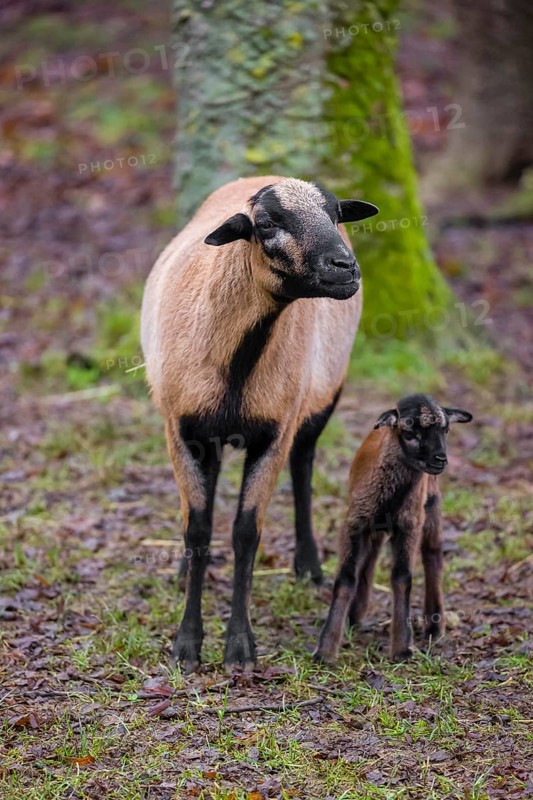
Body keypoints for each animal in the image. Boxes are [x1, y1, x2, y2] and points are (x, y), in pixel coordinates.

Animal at [140, 176, 379, 672]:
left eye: (336, 214)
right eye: (267, 224)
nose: (346, 267)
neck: (236, 360)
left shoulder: (273, 433)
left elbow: (246, 533)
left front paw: (239, 647)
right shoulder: (181, 431)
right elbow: (198, 528)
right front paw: (187, 645)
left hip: (322, 396)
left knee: (303, 464)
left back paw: (309, 567)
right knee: (206, 497)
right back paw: (183, 570)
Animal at [315, 393, 472, 664]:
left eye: (446, 430)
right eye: (409, 432)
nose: (440, 459)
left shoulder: (409, 526)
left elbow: (402, 578)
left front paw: (402, 648)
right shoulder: (354, 523)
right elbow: (345, 578)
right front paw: (325, 651)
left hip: (430, 508)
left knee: (432, 556)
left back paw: (434, 625)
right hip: (374, 525)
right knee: (371, 555)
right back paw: (354, 616)